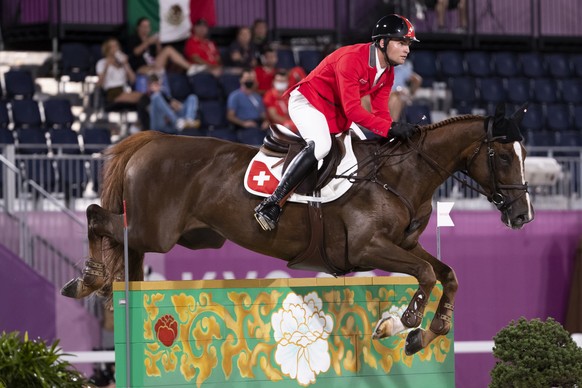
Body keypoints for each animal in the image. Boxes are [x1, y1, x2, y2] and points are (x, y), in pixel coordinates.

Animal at [61, 103, 536, 354]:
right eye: (503, 156)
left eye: (523, 153)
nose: (523, 216)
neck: (400, 176)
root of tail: (153, 140)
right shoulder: (367, 248)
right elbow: (423, 275)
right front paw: (401, 324)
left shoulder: (402, 244)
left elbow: (446, 274)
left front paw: (426, 333)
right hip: (155, 229)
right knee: (96, 215)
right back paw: (88, 280)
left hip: (179, 235)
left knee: (120, 242)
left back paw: (111, 287)